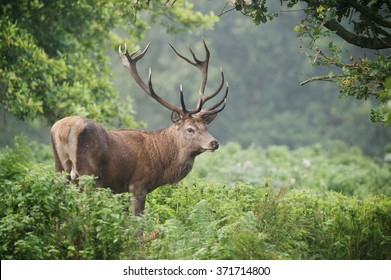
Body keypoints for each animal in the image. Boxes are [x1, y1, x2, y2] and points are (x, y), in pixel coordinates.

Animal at [52, 38, 230, 214]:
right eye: (190, 129)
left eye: (206, 127)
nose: (214, 143)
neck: (161, 159)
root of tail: (64, 130)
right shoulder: (138, 184)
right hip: (86, 173)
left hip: (59, 167)